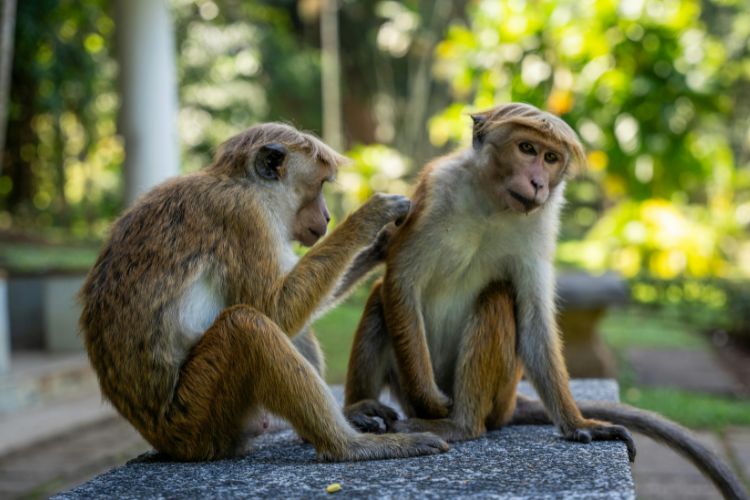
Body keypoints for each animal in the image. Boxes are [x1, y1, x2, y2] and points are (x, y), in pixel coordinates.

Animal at [79, 122, 449, 462]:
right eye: (319, 185)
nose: (328, 216)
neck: (242, 184)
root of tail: (164, 440)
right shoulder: (245, 216)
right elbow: (274, 308)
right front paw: (368, 218)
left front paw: (382, 243)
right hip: (197, 417)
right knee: (247, 325)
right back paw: (347, 446)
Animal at [343, 104, 748, 500]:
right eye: (527, 149)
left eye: (551, 157)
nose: (538, 182)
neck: (492, 203)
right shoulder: (435, 189)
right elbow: (401, 281)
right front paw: (428, 398)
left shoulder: (541, 222)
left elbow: (534, 317)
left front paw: (580, 424)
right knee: (380, 299)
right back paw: (361, 410)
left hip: (501, 396)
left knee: (496, 298)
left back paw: (462, 425)